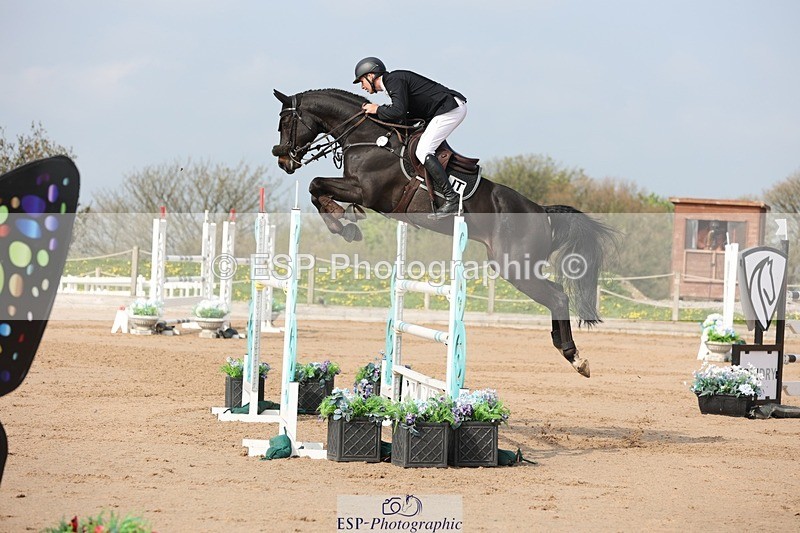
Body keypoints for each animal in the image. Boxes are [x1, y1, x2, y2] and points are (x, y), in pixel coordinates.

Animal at [271, 88, 615, 377]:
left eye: (285, 121)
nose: (283, 159)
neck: (368, 137)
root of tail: (542, 213)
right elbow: (317, 189)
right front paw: (346, 223)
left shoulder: (366, 191)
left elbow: (316, 184)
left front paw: (342, 221)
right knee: (556, 294)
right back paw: (565, 349)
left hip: (516, 267)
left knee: (558, 296)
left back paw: (574, 356)